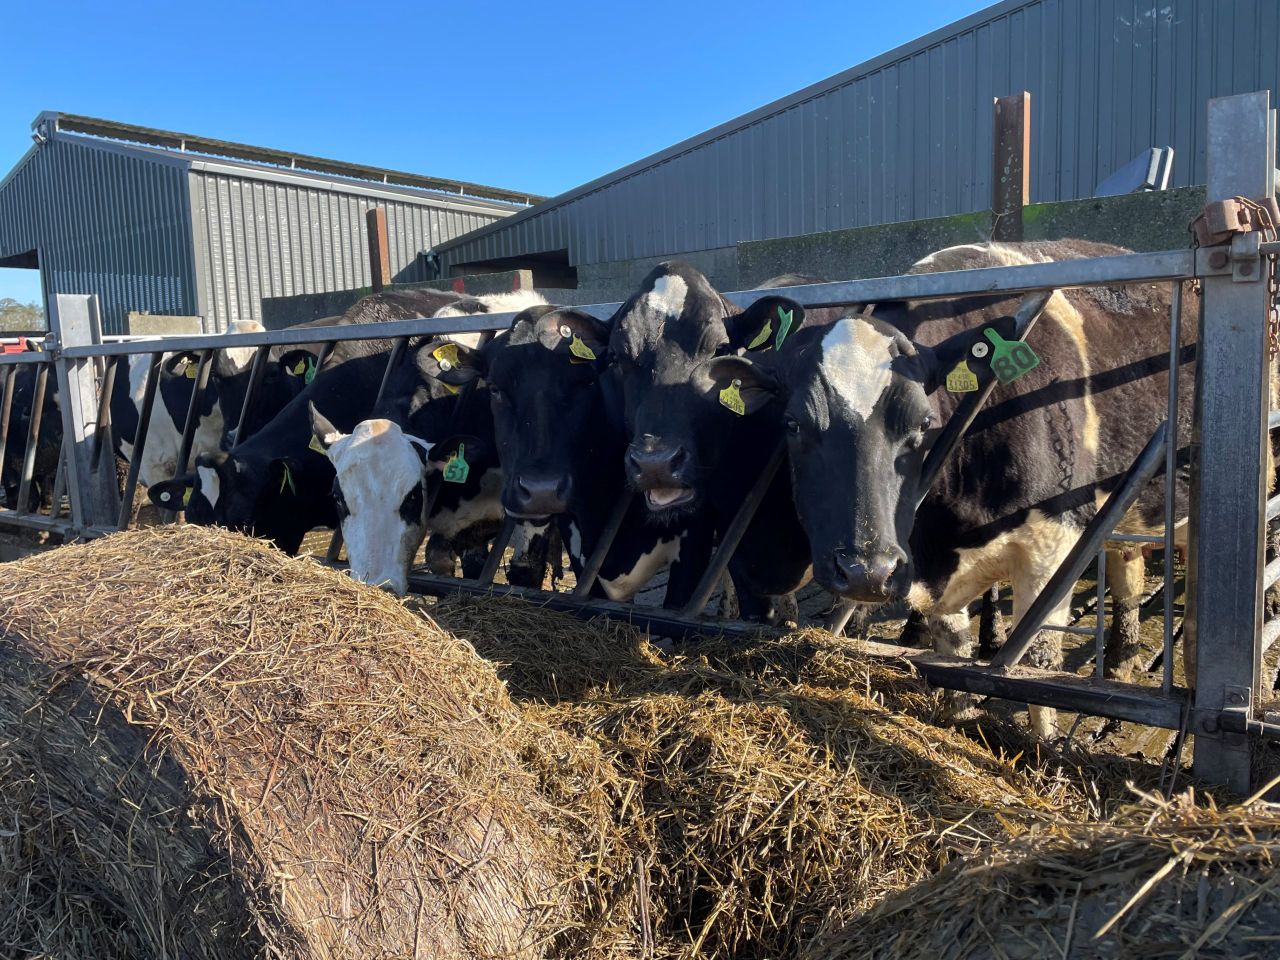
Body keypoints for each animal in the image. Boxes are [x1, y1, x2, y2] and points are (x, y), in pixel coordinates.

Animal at [695, 240, 1195, 736]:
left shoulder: (1055, 541)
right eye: (793, 424)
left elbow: (1038, 661)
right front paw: (961, 717)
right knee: (1128, 568)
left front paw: (1045, 742)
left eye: (925, 423)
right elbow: (953, 647)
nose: (866, 572)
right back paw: (1120, 660)